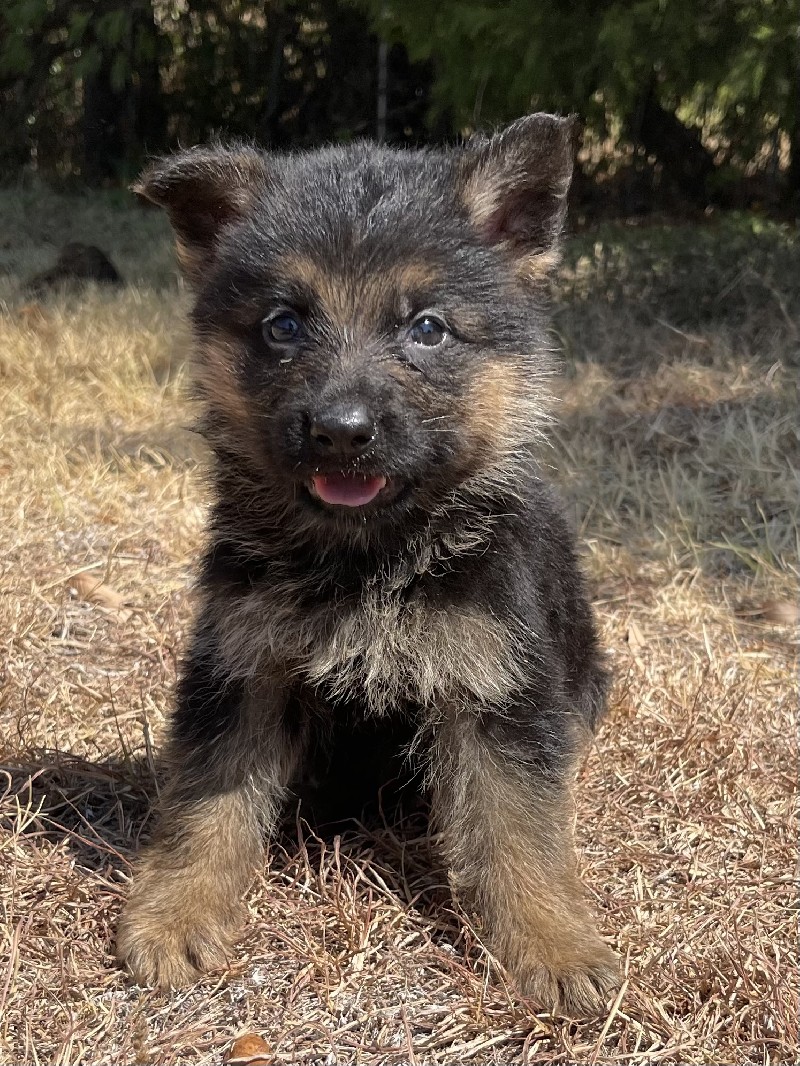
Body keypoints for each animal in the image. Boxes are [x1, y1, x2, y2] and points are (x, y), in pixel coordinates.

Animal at [117, 116, 618, 1014]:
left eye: (427, 328)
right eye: (283, 324)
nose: (341, 431)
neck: (369, 563)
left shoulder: (496, 692)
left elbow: (521, 830)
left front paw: (553, 943)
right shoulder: (241, 670)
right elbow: (204, 805)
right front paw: (176, 912)